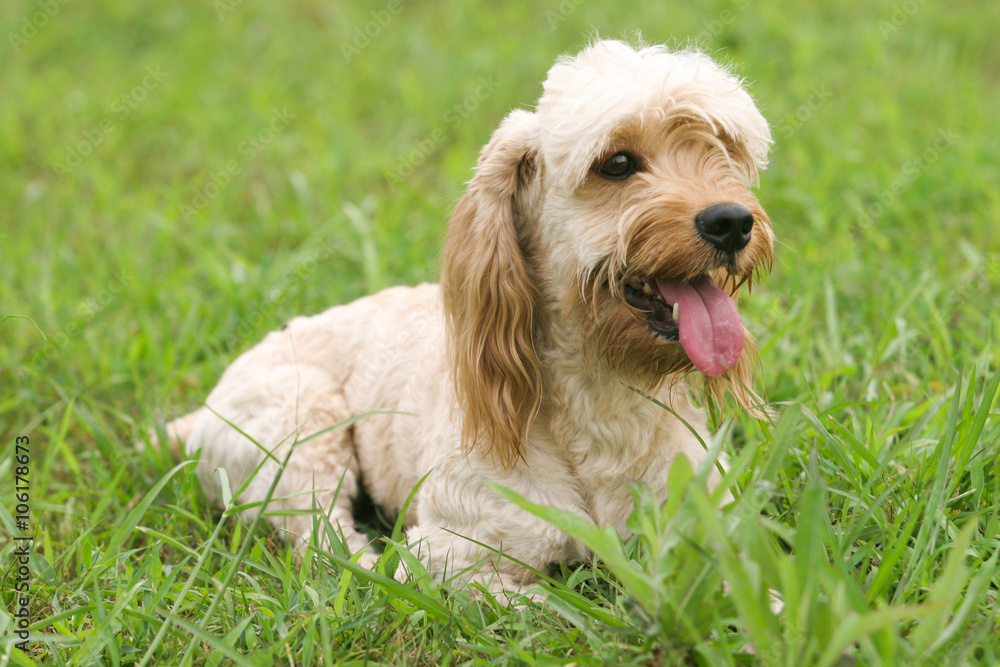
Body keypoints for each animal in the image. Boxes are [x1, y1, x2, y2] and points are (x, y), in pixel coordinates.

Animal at [162, 40, 772, 596]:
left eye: (718, 150)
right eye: (617, 164)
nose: (732, 222)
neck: (605, 405)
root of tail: (198, 415)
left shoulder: (710, 531)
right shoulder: (449, 562)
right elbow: (546, 609)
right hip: (300, 434)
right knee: (324, 540)